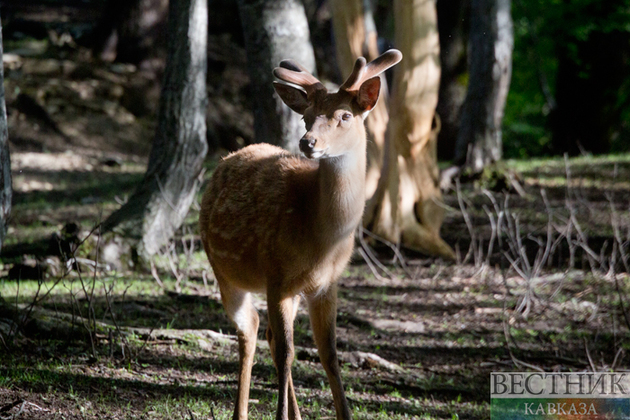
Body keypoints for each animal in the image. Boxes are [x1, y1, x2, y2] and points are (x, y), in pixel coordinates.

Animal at [200, 50, 402, 420]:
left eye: (345, 115)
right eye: (307, 117)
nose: (308, 142)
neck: (322, 239)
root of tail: (225, 160)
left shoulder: (327, 285)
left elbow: (329, 354)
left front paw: (343, 414)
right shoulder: (276, 276)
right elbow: (287, 352)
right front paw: (279, 415)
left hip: (289, 291)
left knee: (266, 332)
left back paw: (296, 413)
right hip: (224, 271)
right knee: (250, 329)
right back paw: (241, 412)